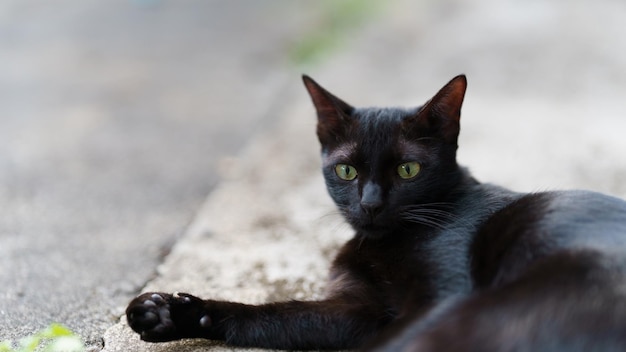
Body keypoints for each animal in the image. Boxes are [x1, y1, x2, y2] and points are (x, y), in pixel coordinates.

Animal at [125, 75, 624, 350]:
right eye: (346, 170)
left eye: (407, 169)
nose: (370, 203)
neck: (383, 247)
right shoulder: (354, 311)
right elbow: (277, 316)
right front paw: (170, 312)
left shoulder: (441, 297)